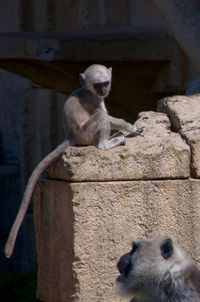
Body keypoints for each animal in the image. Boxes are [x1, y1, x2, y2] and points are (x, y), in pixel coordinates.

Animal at [4, 63, 142, 258]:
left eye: (105, 83)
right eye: (98, 85)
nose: (103, 91)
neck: (87, 89)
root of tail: (71, 136)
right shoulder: (93, 99)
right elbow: (108, 117)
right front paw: (131, 127)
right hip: (86, 133)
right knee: (101, 119)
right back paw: (107, 144)